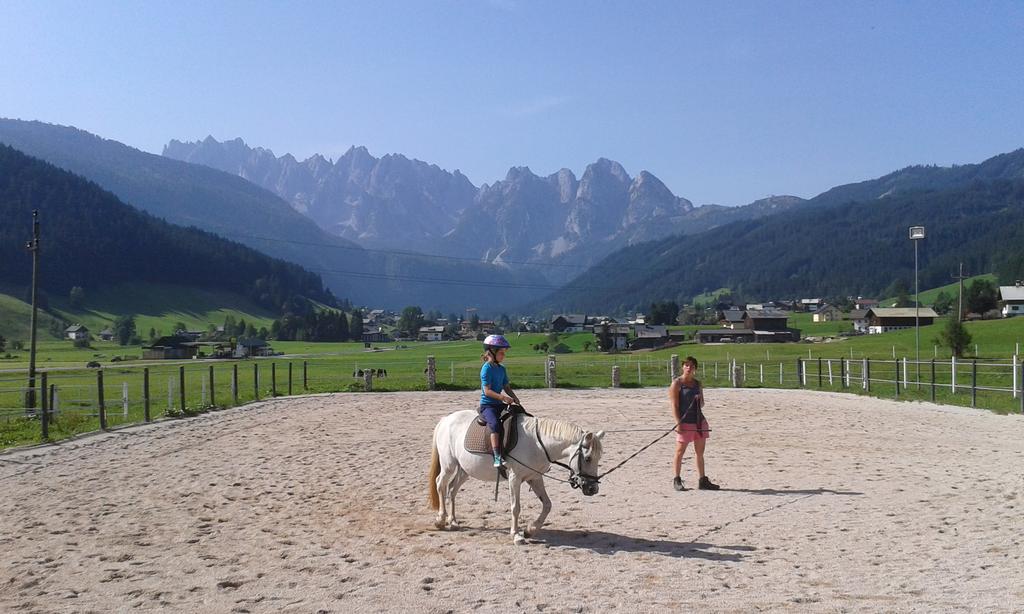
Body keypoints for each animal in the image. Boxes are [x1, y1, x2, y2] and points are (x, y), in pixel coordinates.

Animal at [428, 409, 602, 544]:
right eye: (588, 458)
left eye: (599, 457)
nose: (593, 488)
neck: (537, 444)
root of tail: (446, 419)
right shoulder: (515, 479)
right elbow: (515, 507)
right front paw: (517, 535)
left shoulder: (535, 478)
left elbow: (547, 505)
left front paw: (530, 530)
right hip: (449, 465)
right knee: (440, 484)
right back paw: (440, 520)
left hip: (465, 470)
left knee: (452, 490)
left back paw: (453, 521)